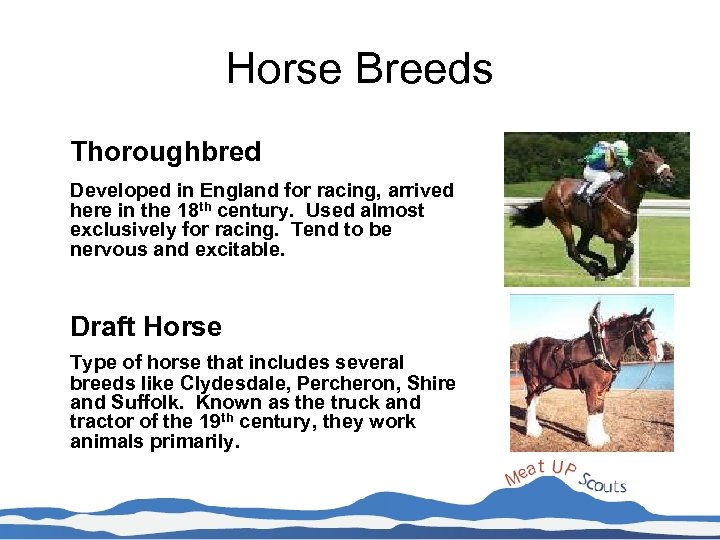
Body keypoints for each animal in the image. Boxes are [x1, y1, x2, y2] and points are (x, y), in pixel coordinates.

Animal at [509, 149, 674, 279]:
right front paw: (603, 270)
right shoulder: (610, 235)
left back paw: (600, 264)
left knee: (582, 248)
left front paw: (606, 269)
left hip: (587, 227)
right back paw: (594, 269)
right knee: (573, 251)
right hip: (563, 221)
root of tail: (548, 193)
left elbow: (621, 262)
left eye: (662, 159)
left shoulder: (621, 237)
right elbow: (630, 247)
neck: (623, 198)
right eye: (650, 161)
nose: (669, 176)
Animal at [520, 307, 659, 447]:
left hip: (540, 385)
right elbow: (592, 411)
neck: (601, 351)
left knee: (533, 402)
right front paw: (593, 440)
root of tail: (529, 346)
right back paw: (532, 431)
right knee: (530, 402)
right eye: (644, 330)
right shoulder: (591, 388)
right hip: (533, 382)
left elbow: (599, 411)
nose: (659, 354)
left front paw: (601, 436)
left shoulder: (602, 389)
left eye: (653, 327)